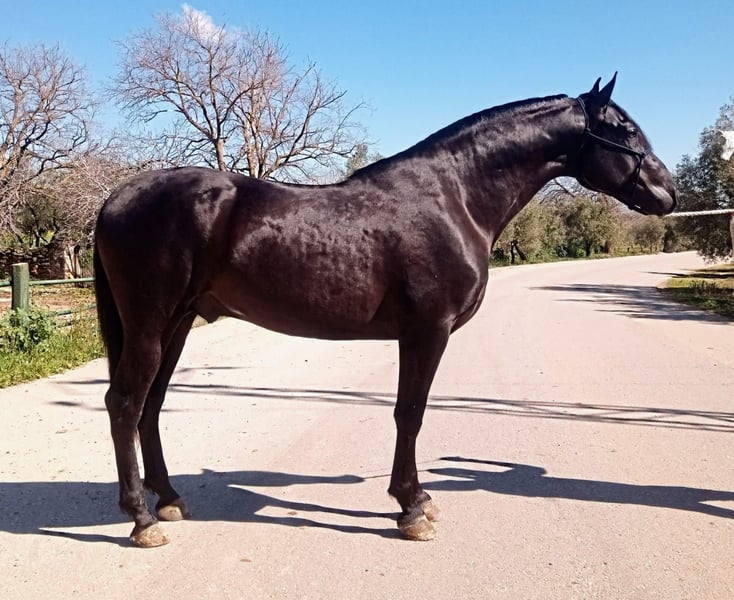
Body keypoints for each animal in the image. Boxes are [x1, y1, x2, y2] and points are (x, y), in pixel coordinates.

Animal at [93, 75, 677, 547]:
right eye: (623, 130)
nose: (668, 193)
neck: (454, 196)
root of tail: (116, 198)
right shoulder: (428, 331)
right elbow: (410, 413)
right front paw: (412, 508)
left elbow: (407, 413)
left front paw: (413, 501)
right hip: (150, 324)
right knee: (124, 404)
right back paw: (142, 520)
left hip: (177, 325)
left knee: (150, 406)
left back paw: (169, 500)